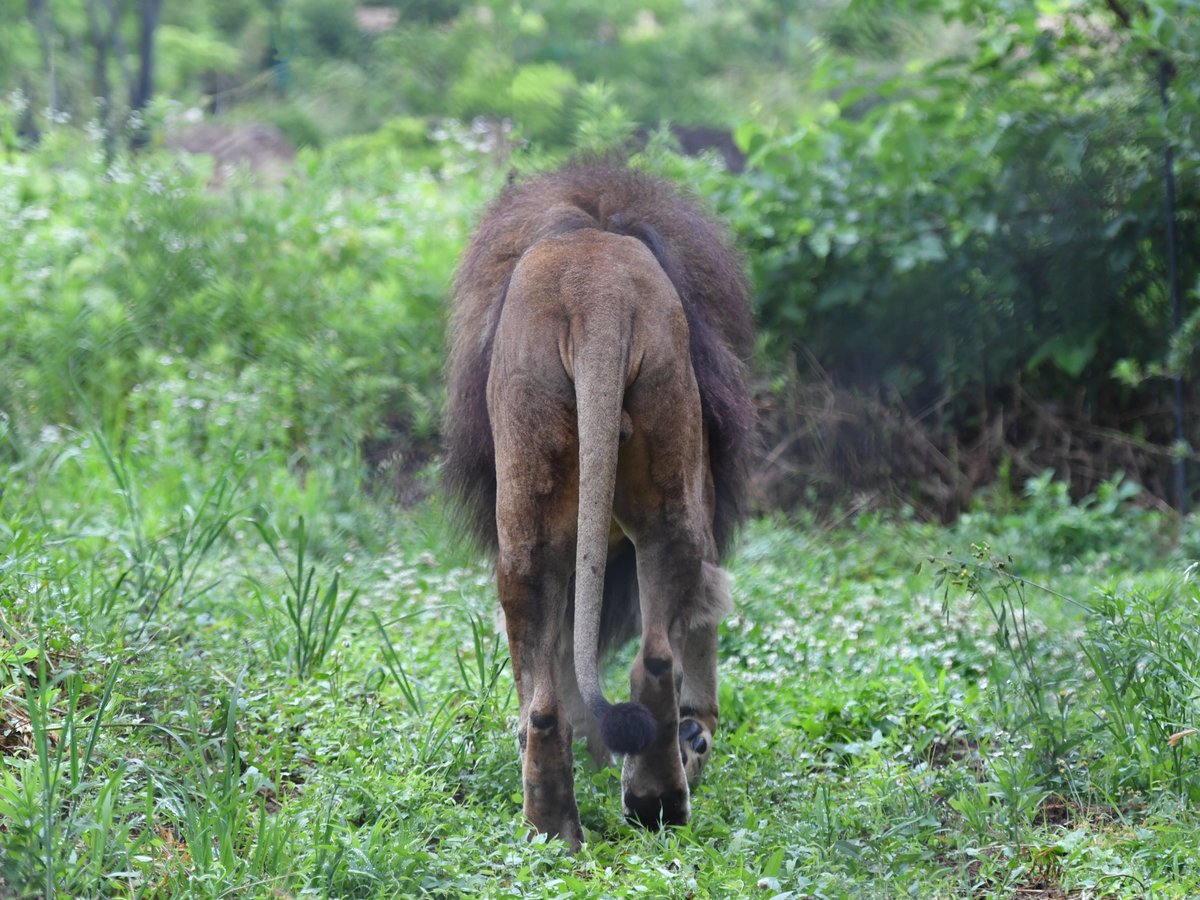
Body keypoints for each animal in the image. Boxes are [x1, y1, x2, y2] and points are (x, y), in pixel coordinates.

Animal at [446, 164, 753, 854]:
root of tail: (600, 299)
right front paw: (698, 735)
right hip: (672, 498)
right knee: (655, 658)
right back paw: (656, 798)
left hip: (530, 509)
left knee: (544, 697)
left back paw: (554, 829)